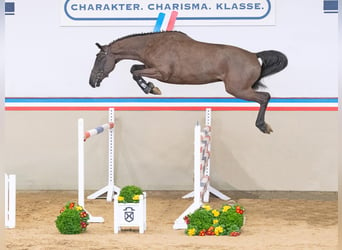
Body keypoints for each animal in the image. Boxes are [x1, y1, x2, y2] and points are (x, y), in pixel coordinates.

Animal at [89, 31, 288, 134]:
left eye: (99, 58)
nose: (91, 82)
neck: (152, 44)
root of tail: (254, 55)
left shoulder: (161, 72)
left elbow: (135, 72)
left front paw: (151, 89)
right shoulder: (150, 67)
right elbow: (134, 69)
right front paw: (151, 89)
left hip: (238, 89)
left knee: (264, 97)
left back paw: (263, 126)